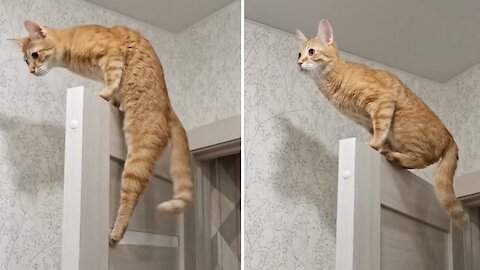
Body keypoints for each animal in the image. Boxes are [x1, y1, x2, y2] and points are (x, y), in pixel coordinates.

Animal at [11, 21, 191, 244]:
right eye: (26, 61)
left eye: (35, 55)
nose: (31, 71)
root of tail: (169, 108)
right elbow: (114, 90)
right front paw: (112, 100)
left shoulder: (112, 54)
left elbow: (113, 80)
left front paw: (104, 94)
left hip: (139, 155)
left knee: (132, 194)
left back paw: (117, 231)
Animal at [298, 19, 466, 226]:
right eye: (299, 53)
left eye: (311, 52)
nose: (299, 62)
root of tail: (450, 138)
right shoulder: (366, 121)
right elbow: (380, 133)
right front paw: (379, 146)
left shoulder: (382, 101)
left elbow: (380, 130)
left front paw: (373, 145)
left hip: (402, 128)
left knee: (422, 160)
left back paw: (393, 156)